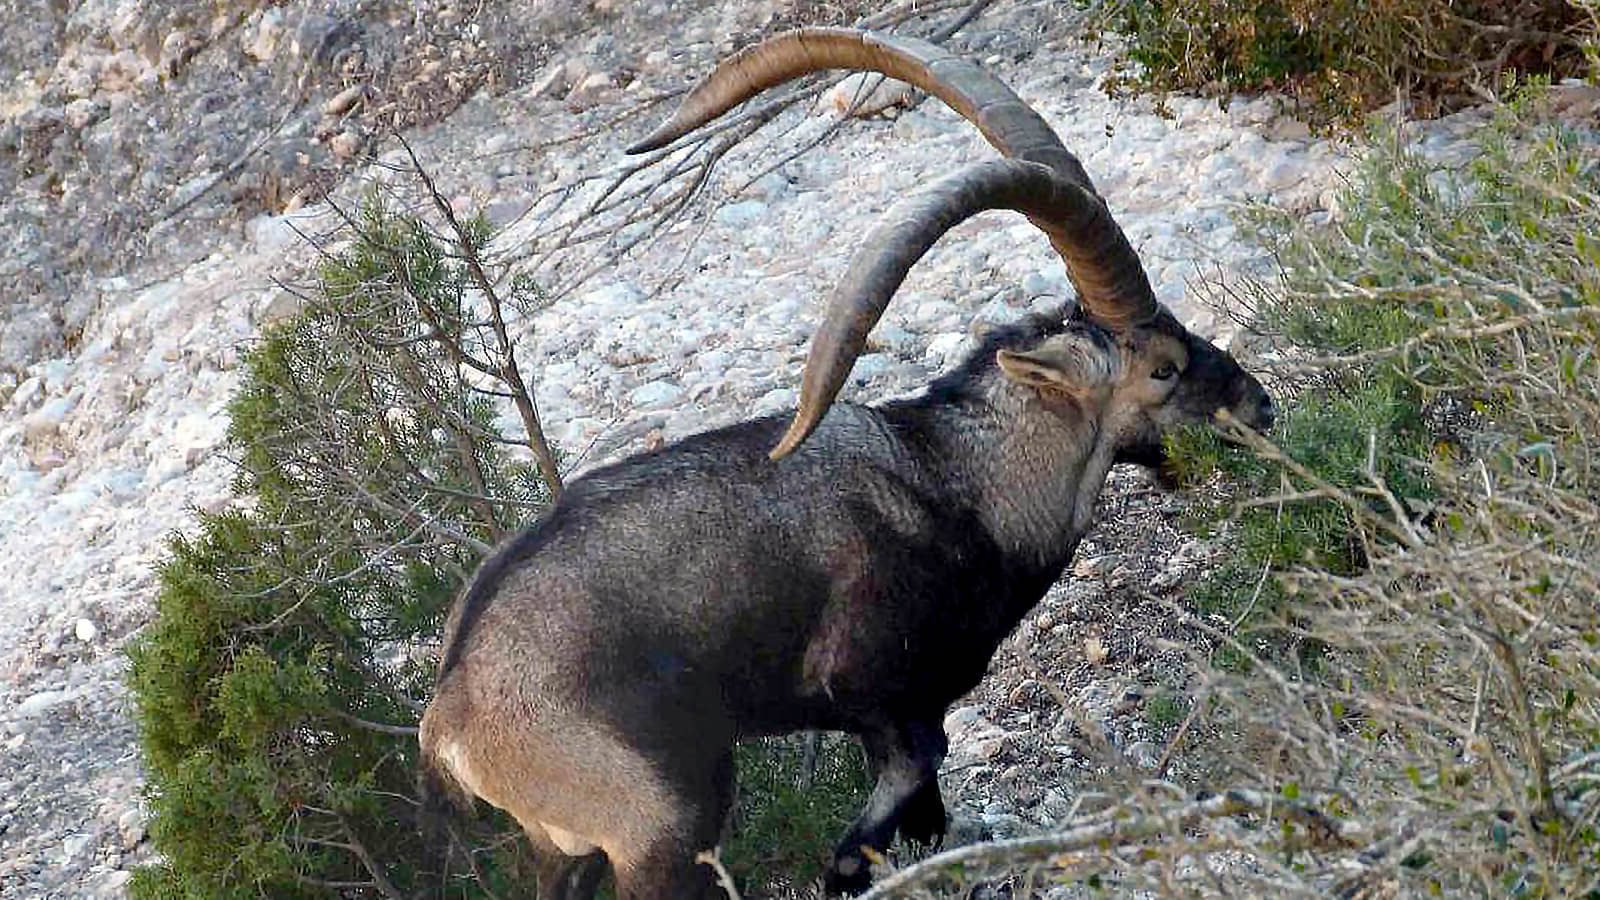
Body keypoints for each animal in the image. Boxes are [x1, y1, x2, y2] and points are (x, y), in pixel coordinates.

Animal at [418, 27, 1275, 900]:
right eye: (1163, 368)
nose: (1258, 407)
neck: (961, 484)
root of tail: (451, 720)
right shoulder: (878, 696)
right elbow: (893, 802)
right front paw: (847, 863)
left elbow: (926, 821)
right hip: (660, 823)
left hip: (567, 844)